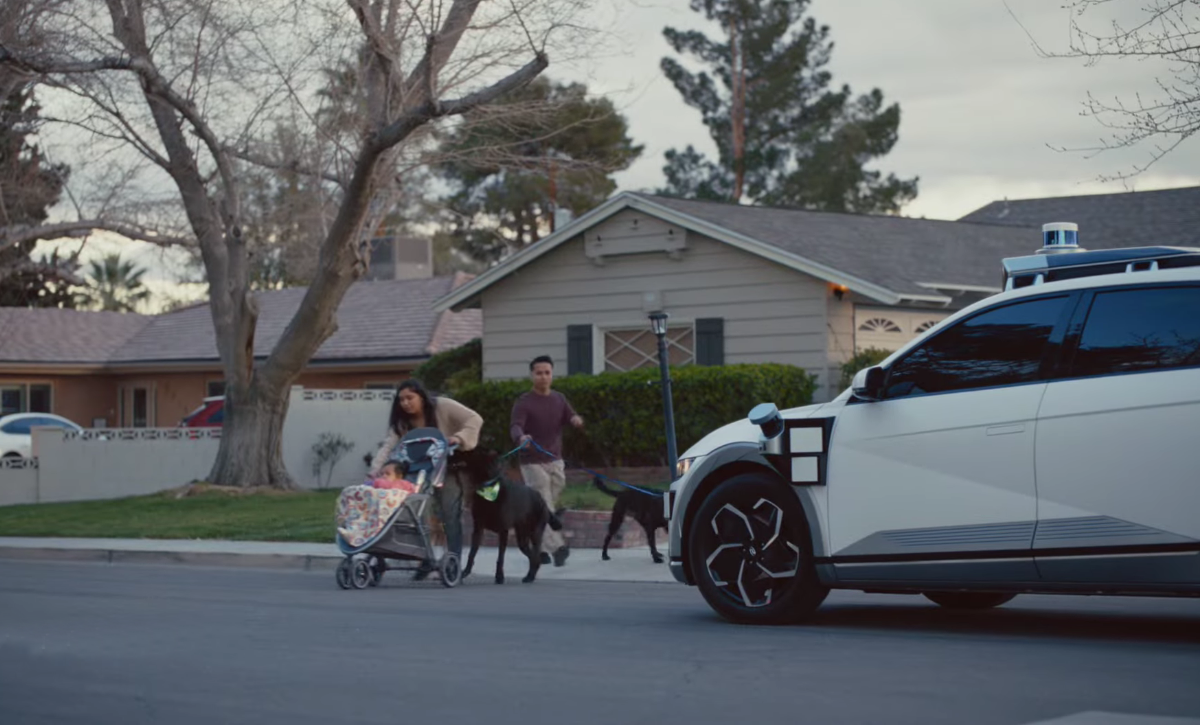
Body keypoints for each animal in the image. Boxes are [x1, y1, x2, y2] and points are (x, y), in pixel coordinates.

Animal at [458, 453, 561, 583]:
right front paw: (465, 572)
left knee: (535, 556)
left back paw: (530, 576)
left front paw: (499, 576)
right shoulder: (477, 529)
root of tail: (543, 501)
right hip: (522, 538)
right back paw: (530, 576)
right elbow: (472, 553)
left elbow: (500, 557)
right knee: (533, 557)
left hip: (535, 533)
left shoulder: (503, 531)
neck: (488, 491)